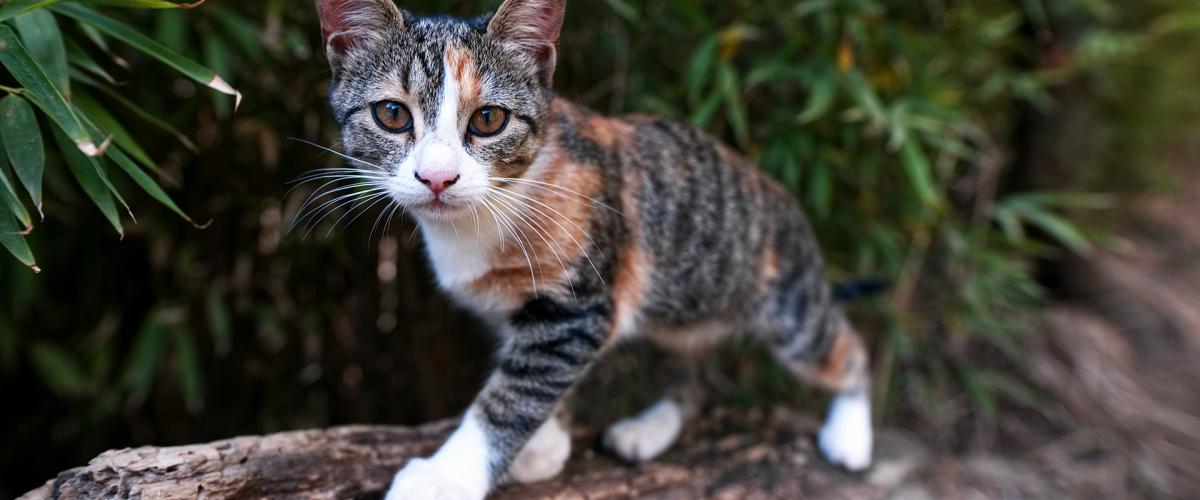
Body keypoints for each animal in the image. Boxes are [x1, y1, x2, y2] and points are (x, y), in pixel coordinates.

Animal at [309, 1, 873, 496]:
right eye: (391, 114)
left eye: (489, 119)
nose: (438, 177)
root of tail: (783, 195)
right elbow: (533, 376)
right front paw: (545, 446)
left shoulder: (579, 303)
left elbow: (515, 391)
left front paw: (447, 477)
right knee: (690, 375)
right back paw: (652, 428)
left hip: (786, 304)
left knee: (841, 346)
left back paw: (851, 434)